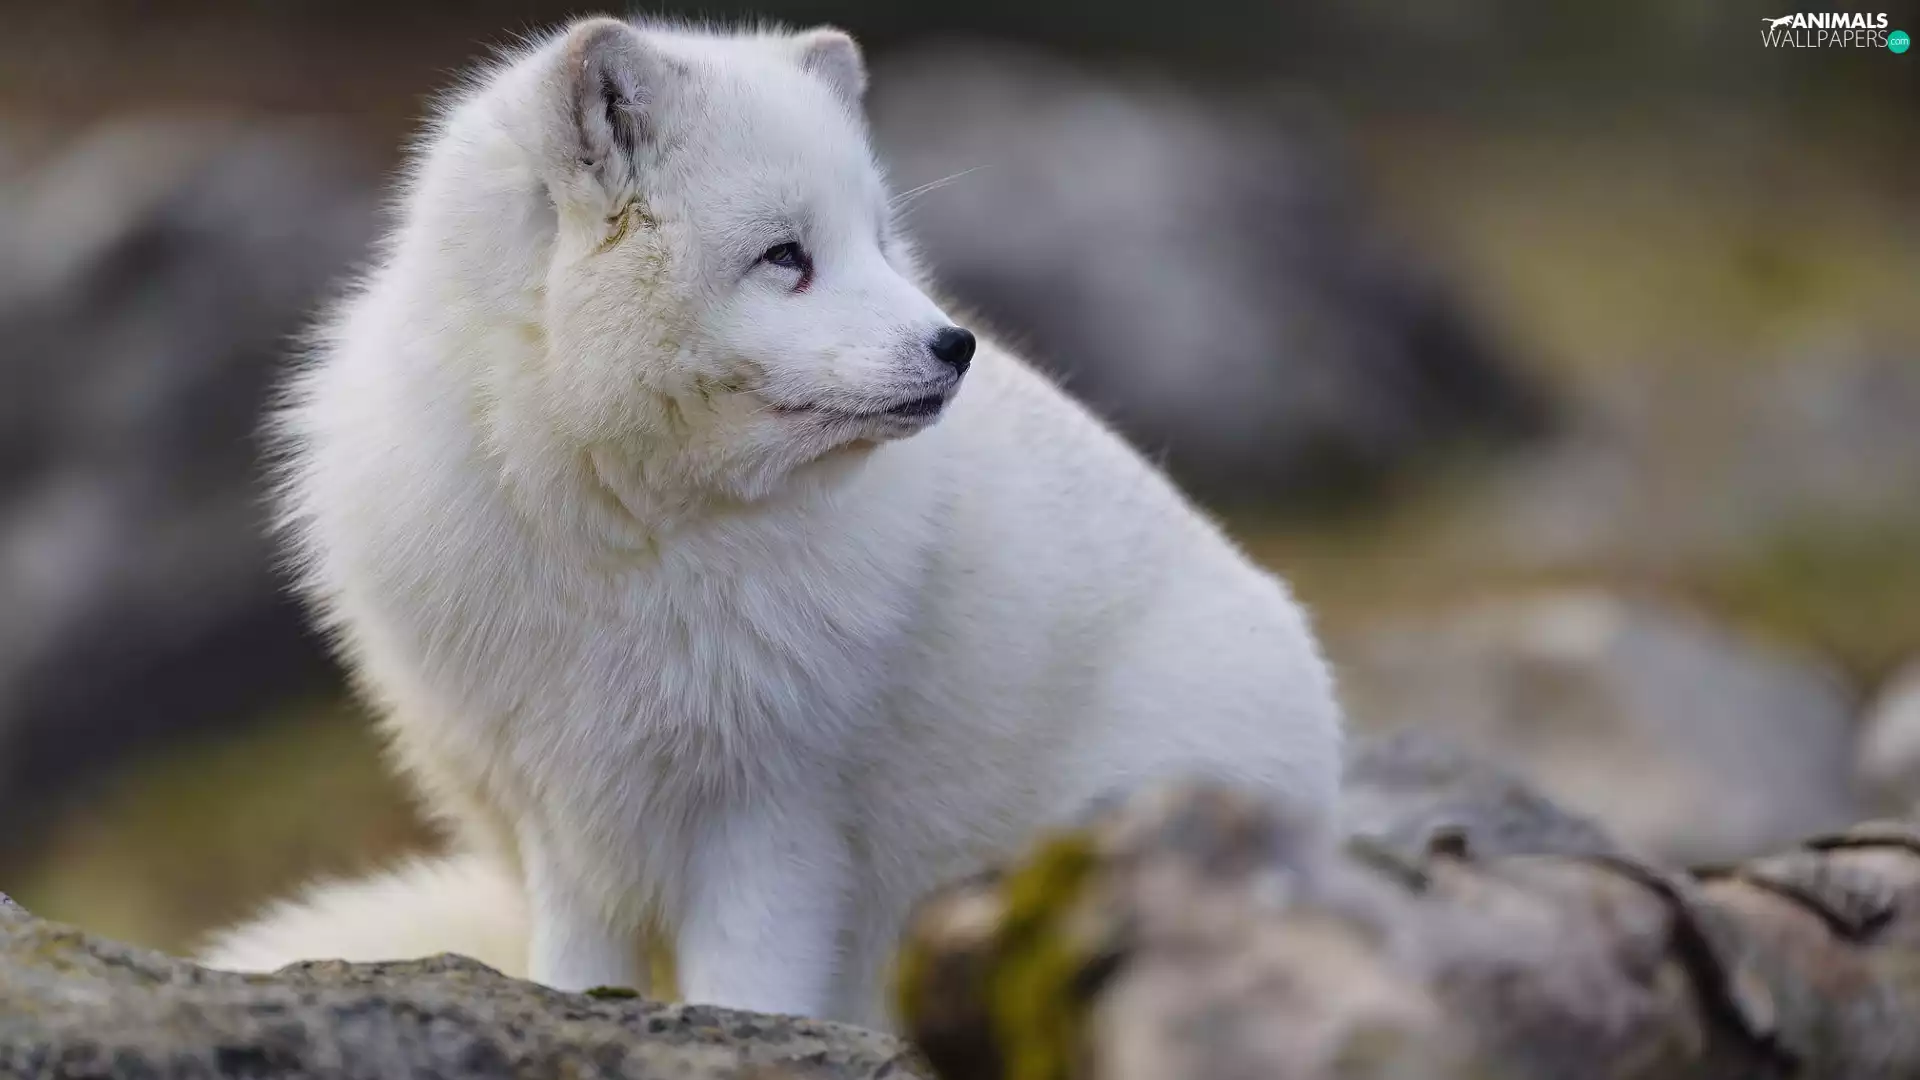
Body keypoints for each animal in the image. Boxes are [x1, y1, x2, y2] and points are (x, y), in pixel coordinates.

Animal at [197, 16, 1344, 1029]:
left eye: (878, 242)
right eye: (784, 256)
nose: (955, 346)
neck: (628, 545)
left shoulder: (776, 815)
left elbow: (751, 990)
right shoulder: (564, 816)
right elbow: (575, 973)